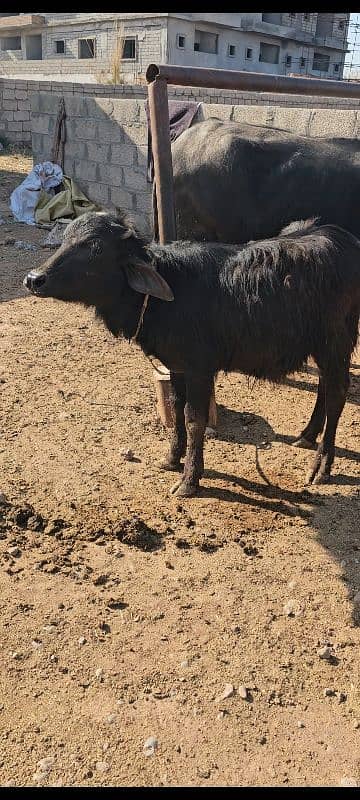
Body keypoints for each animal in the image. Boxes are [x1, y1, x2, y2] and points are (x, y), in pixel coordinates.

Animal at [23, 212, 358, 500]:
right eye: (65, 238)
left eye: (95, 248)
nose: (34, 279)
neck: (167, 297)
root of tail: (342, 238)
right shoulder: (176, 366)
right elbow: (174, 407)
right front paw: (171, 458)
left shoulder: (200, 369)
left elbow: (194, 418)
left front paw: (189, 479)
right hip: (321, 346)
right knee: (325, 386)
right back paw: (306, 435)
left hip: (337, 340)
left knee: (338, 392)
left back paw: (321, 465)